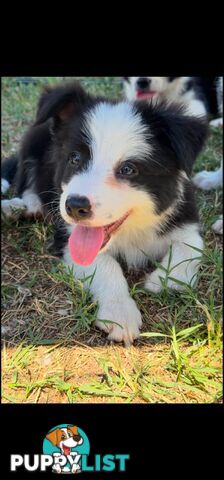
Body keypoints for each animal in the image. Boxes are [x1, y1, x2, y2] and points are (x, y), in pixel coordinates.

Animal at [1, 81, 208, 344]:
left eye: (128, 169)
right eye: (74, 158)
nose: (74, 206)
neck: (131, 230)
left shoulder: (183, 215)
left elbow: (191, 248)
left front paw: (165, 280)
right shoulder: (68, 236)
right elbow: (105, 265)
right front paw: (119, 314)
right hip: (34, 139)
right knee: (26, 179)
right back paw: (21, 207)